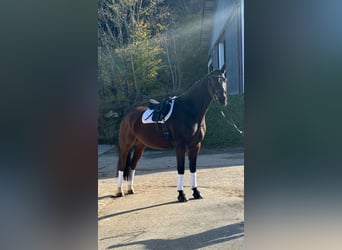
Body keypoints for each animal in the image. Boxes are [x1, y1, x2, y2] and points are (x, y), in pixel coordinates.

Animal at [115, 64, 227, 201]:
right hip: (125, 146)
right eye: (211, 81)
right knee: (122, 166)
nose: (223, 99)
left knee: (132, 165)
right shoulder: (180, 146)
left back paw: (131, 189)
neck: (189, 110)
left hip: (140, 146)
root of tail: (127, 116)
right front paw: (181, 195)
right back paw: (119, 191)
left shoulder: (195, 145)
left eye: (224, 79)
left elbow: (193, 168)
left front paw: (196, 192)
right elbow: (181, 169)